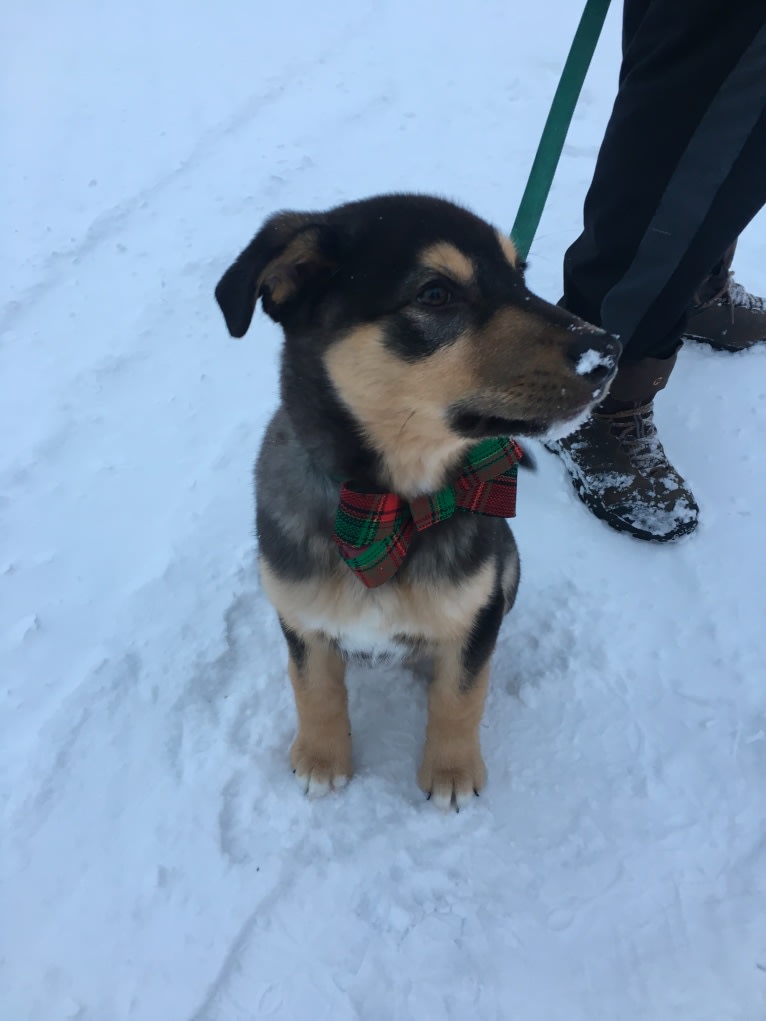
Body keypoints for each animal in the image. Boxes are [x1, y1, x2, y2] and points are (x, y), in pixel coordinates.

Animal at [213, 195, 620, 808]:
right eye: (435, 294)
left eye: (519, 276)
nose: (609, 355)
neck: (390, 504)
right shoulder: (299, 616)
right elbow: (314, 688)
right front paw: (321, 760)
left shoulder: (476, 611)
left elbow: (460, 695)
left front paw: (451, 773)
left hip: (508, 566)